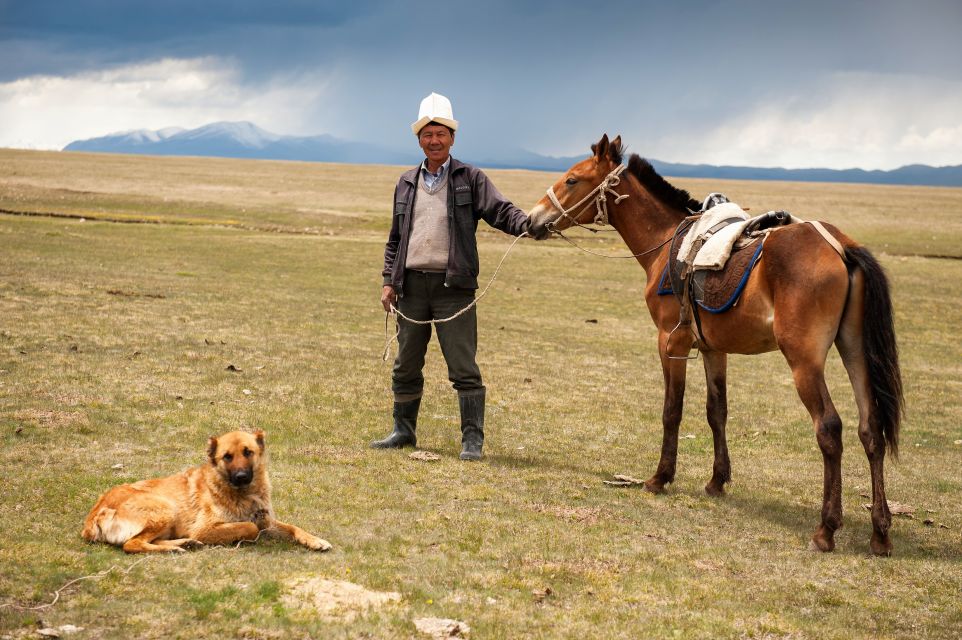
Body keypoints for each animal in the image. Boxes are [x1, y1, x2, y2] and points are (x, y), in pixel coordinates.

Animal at [77, 430, 330, 556]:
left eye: (248, 452)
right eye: (227, 456)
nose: (241, 476)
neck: (243, 494)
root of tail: (95, 515)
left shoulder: (267, 521)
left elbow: (294, 528)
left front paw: (316, 540)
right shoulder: (205, 529)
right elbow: (250, 527)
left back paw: (184, 543)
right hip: (165, 508)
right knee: (131, 544)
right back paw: (174, 548)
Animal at [528, 134, 904, 556]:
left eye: (572, 180)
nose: (533, 219)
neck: (664, 243)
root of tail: (841, 247)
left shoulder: (670, 341)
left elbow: (672, 411)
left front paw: (660, 477)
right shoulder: (713, 348)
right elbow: (716, 411)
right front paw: (717, 481)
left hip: (804, 361)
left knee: (829, 428)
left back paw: (826, 528)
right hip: (855, 351)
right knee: (871, 429)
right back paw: (880, 533)